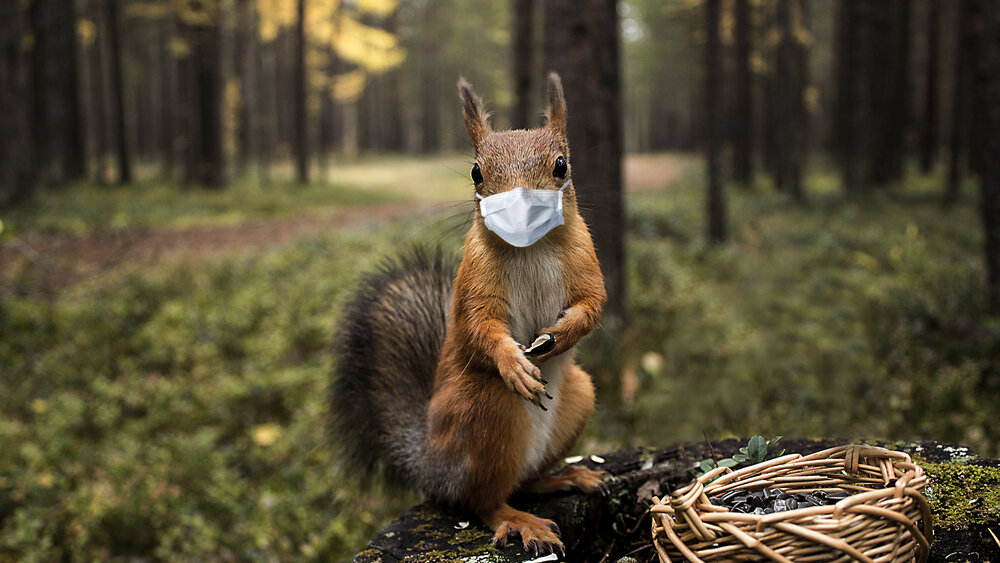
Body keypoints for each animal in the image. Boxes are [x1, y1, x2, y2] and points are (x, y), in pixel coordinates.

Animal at [331, 72, 607, 555]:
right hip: (483, 411)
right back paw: (520, 520)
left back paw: (566, 477)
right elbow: (479, 326)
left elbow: (593, 303)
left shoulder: (585, 257)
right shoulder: (475, 277)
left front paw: (561, 334)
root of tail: (430, 466)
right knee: (482, 500)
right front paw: (513, 363)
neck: (532, 245)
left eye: (561, 165)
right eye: (477, 172)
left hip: (579, 396)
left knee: (523, 481)